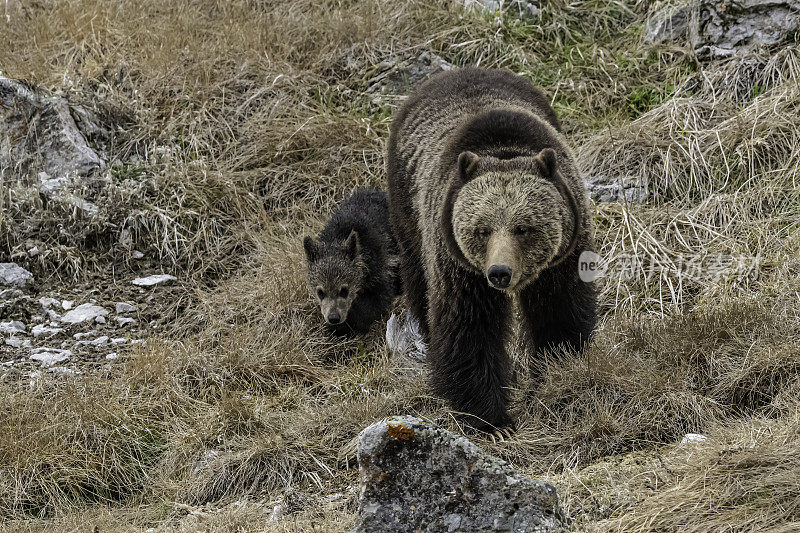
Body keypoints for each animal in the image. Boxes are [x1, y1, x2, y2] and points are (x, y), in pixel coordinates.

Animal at [384, 67, 596, 432]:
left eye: (523, 228)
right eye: (481, 230)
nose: (499, 272)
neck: (503, 150)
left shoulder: (563, 257)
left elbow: (559, 312)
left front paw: (557, 368)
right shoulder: (460, 267)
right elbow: (468, 329)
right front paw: (490, 418)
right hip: (407, 208)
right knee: (420, 285)